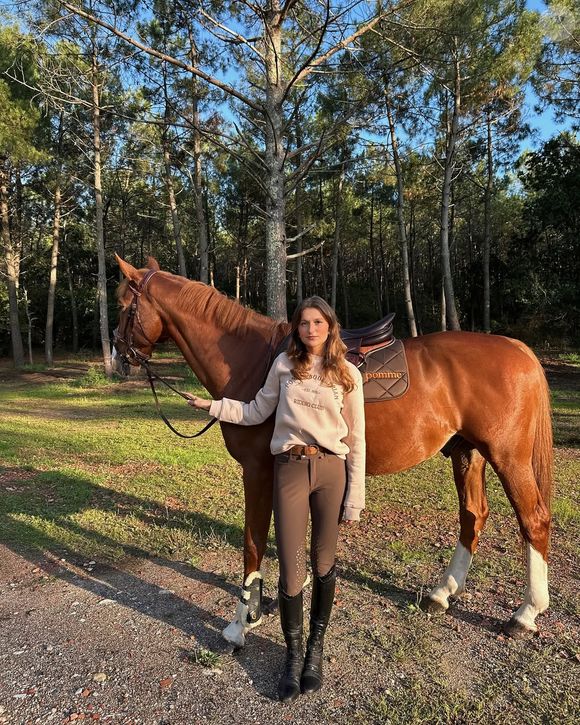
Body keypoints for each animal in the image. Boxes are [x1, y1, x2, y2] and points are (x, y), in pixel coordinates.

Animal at [113, 256, 552, 647]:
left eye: (121, 305)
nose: (117, 356)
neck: (251, 362)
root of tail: (517, 348)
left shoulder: (257, 470)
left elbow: (253, 543)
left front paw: (241, 623)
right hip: (466, 453)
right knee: (472, 517)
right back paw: (443, 593)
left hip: (508, 457)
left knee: (533, 520)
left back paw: (526, 613)